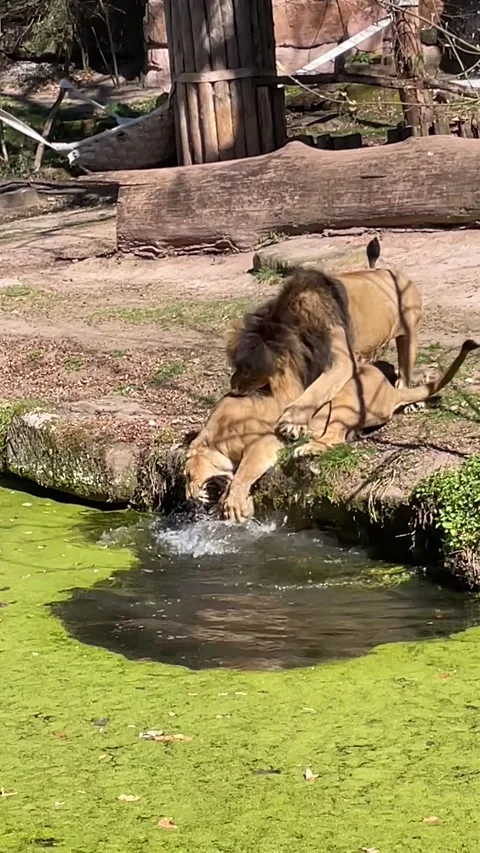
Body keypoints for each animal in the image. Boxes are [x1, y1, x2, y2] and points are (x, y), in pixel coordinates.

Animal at [185, 339, 479, 522]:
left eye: (187, 474)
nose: (188, 496)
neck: (216, 436)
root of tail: (390, 390)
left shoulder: (265, 442)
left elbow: (243, 473)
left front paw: (234, 505)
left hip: (345, 395)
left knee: (334, 439)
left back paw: (306, 446)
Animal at [226, 237, 422, 441]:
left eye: (247, 371)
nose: (233, 388)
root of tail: (389, 271)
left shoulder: (343, 361)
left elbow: (317, 390)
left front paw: (293, 421)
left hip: (409, 336)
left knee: (404, 374)